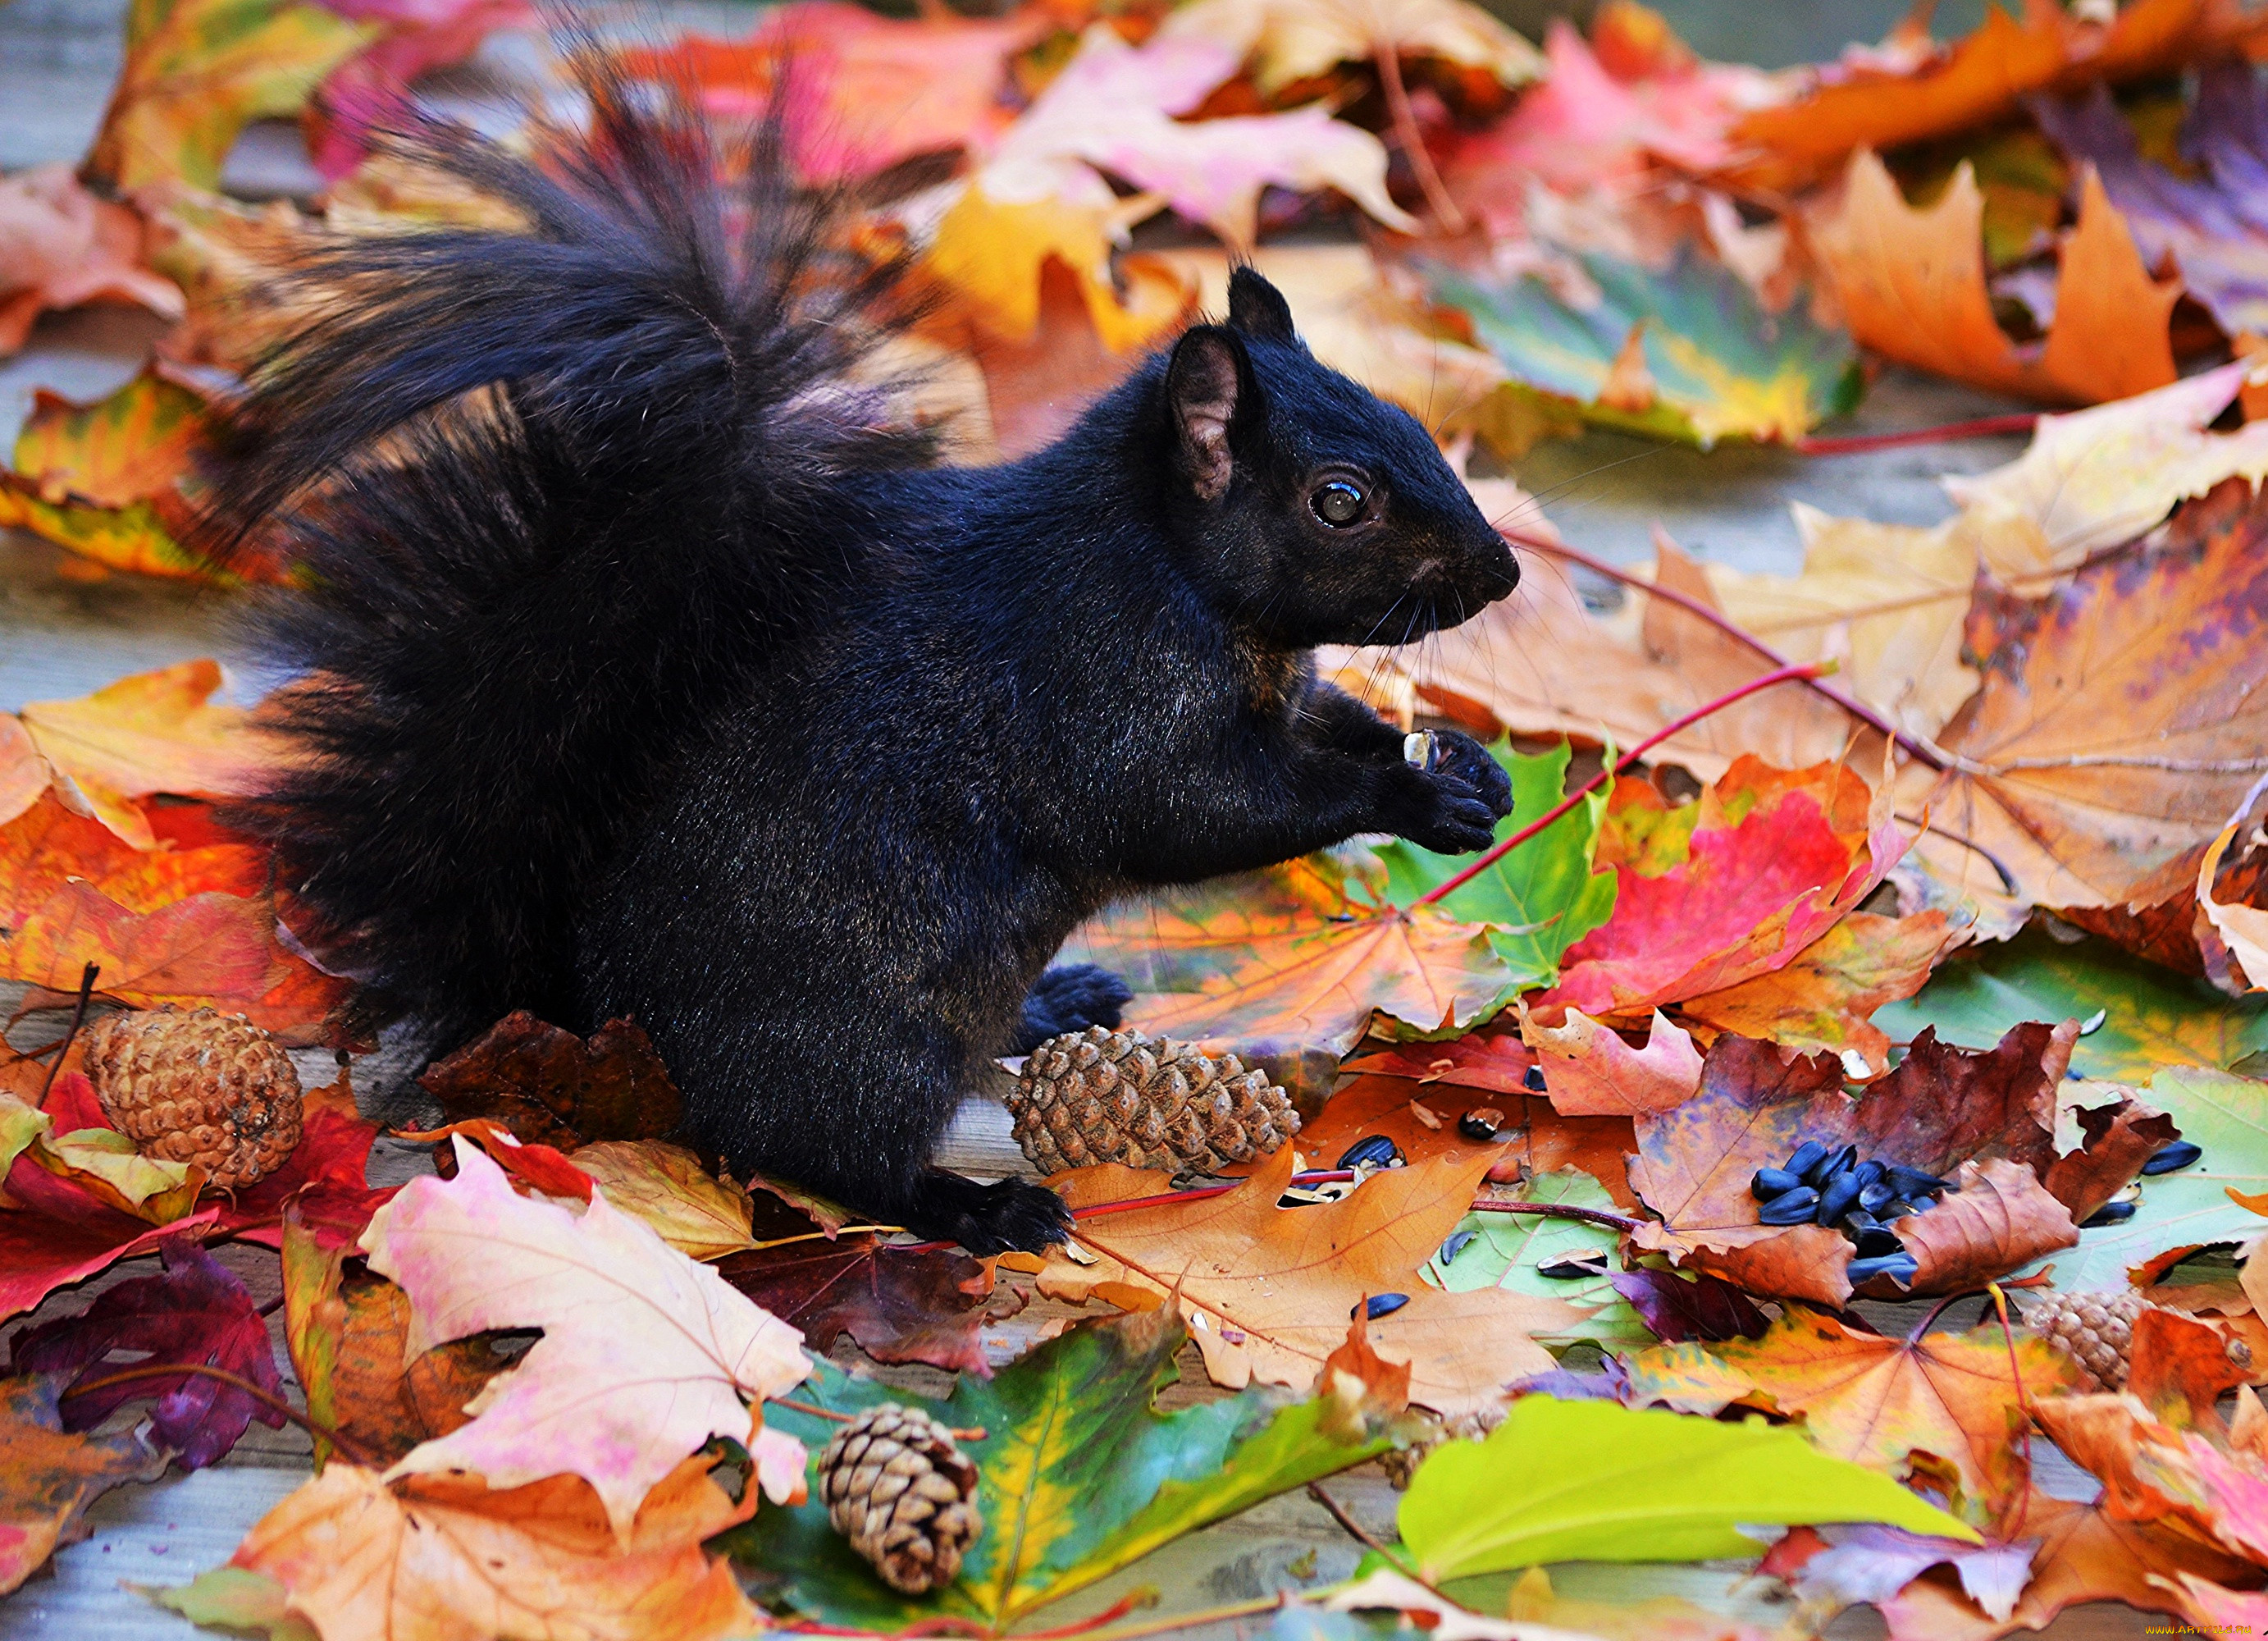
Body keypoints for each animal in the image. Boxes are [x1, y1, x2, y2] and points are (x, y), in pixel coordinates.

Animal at [212, 61, 1524, 1243]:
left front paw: (1460, 768)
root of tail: (606, 1026)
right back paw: (974, 1205)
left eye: (1411, 423)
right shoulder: (1102, 687)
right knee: (823, 1153)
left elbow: (1326, 727)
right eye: (1340, 500)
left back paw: (1057, 1002)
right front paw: (1406, 795)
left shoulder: (1272, 688)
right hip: (870, 1042)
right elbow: (1203, 809)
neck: (1180, 575)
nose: (1501, 574)